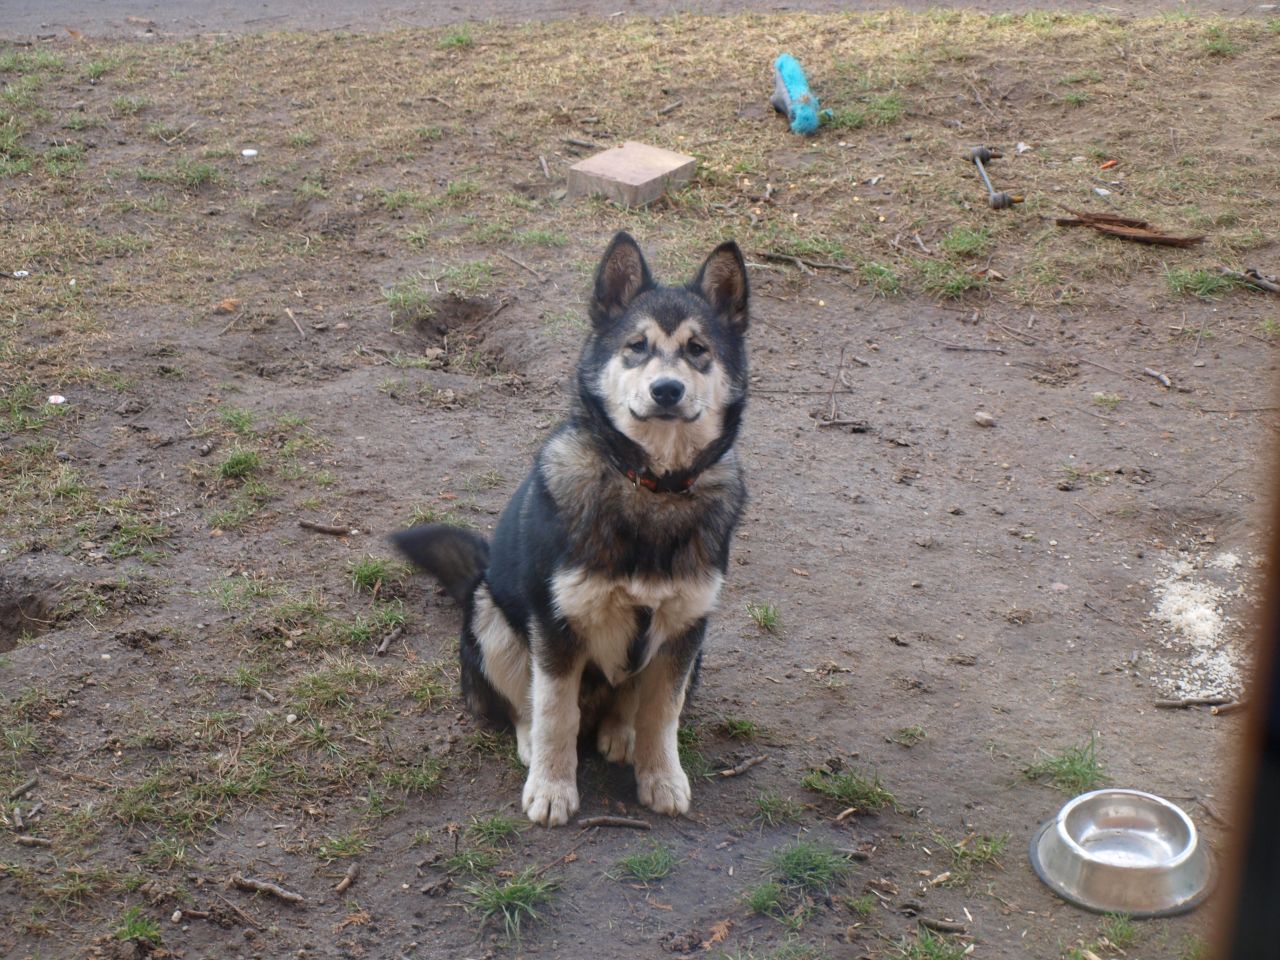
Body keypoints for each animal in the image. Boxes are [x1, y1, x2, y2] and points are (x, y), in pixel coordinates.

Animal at [391, 231, 749, 826]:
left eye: (699, 349)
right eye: (636, 346)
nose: (667, 390)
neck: (649, 486)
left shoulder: (684, 631)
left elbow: (662, 713)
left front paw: (661, 776)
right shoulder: (557, 626)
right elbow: (555, 711)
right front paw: (553, 788)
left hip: (694, 655)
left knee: (627, 703)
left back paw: (620, 733)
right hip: (491, 617)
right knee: (523, 705)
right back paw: (532, 743)